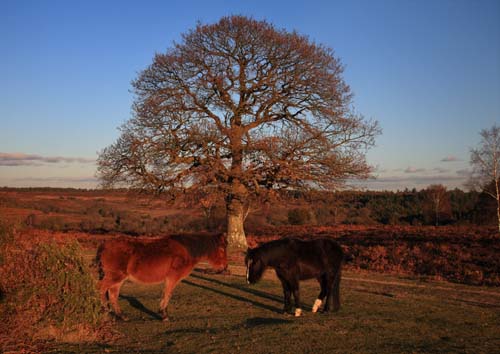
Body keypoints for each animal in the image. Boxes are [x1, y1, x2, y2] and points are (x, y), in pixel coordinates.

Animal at [96, 232, 229, 320]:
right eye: (222, 249)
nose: (225, 267)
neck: (187, 250)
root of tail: (105, 244)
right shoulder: (172, 278)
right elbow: (168, 293)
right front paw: (164, 314)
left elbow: (165, 293)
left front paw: (162, 312)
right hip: (115, 277)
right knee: (101, 289)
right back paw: (104, 311)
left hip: (117, 279)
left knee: (112, 294)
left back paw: (120, 315)